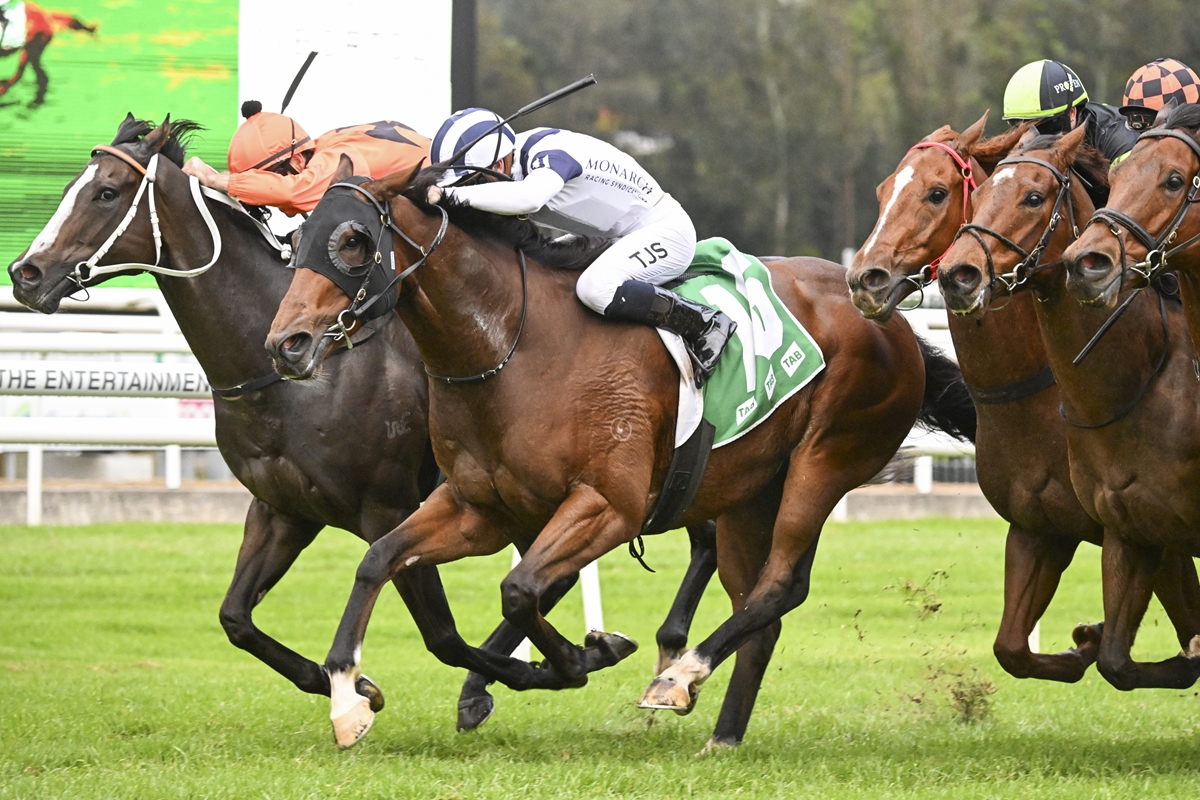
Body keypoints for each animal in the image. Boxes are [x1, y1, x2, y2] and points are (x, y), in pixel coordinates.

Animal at [5, 115, 723, 734]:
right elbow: (236, 617)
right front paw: (351, 687)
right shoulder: (283, 508)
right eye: (72, 186)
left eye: (106, 192)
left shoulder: (388, 506)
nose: (25, 274)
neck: (296, 378)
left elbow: (440, 632)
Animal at [263, 156, 976, 750]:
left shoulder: (608, 505)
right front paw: (348, 698)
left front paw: (584, 658)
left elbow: (519, 590)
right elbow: (382, 564)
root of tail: (891, 318)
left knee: (780, 586)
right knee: (758, 606)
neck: (512, 348)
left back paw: (678, 677)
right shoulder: (478, 508)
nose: (285, 344)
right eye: (295, 240)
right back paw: (721, 733)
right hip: (749, 492)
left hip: (824, 461)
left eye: (352, 240)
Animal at [847, 112, 1200, 682]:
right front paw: (1084, 643)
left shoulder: (1153, 533)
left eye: (937, 193)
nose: (865, 278)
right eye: (883, 191)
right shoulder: (1039, 528)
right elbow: (1013, 648)